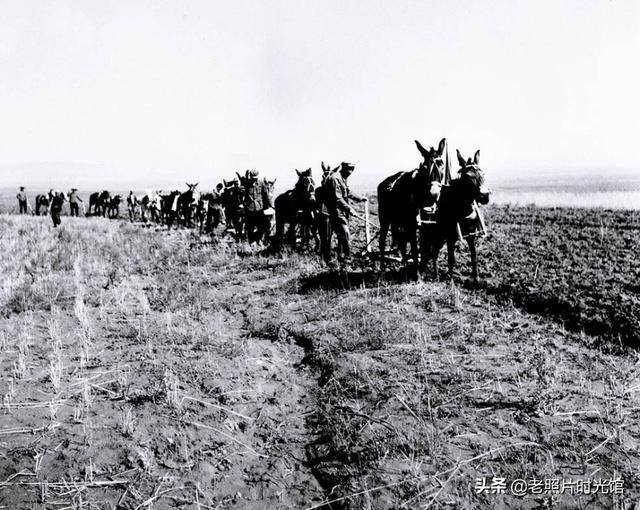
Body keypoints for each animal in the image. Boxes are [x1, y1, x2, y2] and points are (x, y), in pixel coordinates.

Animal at [378, 137, 448, 274]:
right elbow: (416, 250)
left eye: (442, 165)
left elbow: (429, 250)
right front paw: (418, 274)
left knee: (401, 242)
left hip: (398, 221)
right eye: (425, 167)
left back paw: (404, 263)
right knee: (383, 240)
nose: (434, 193)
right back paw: (383, 267)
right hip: (385, 219)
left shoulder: (430, 227)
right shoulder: (412, 226)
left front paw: (432, 272)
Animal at [430, 149, 490, 282]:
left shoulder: (471, 235)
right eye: (468, 176)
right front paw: (451, 280)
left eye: (483, 173)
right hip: (437, 234)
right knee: (433, 251)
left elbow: (474, 256)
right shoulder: (450, 237)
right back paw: (435, 276)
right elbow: (451, 259)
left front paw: (476, 280)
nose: (485, 196)